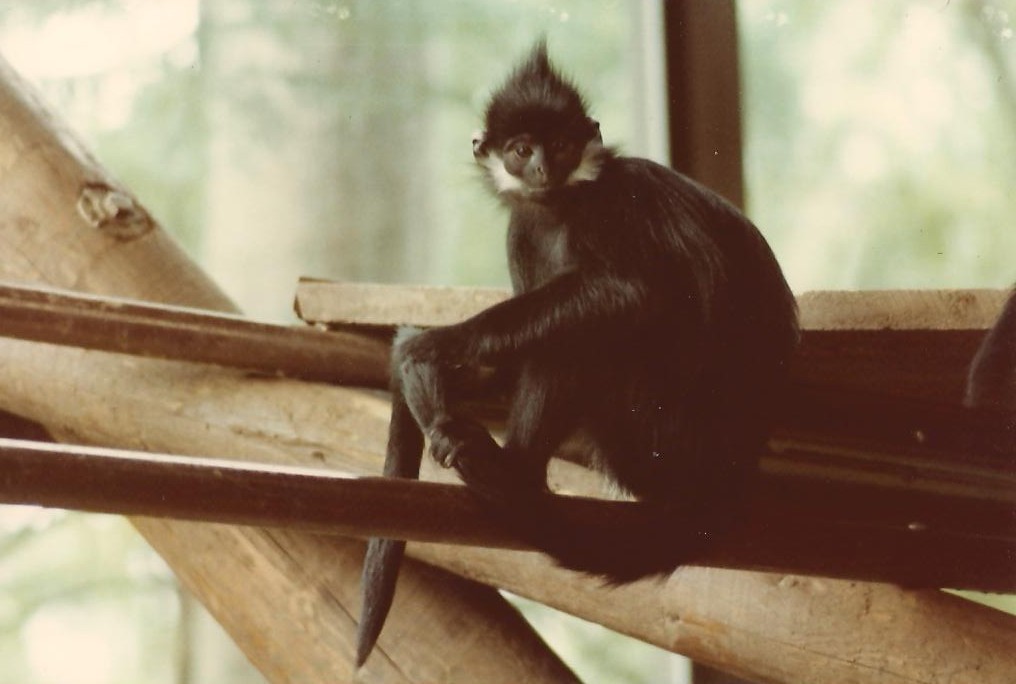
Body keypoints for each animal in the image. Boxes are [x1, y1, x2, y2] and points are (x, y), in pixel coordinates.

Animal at [356, 41, 799, 667]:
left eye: (562, 146)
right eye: (522, 150)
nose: (543, 167)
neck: (562, 205)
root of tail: (729, 475)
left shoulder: (612, 201)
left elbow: (628, 294)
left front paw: (433, 346)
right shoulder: (521, 230)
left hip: (661, 431)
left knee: (591, 333)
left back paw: (511, 472)